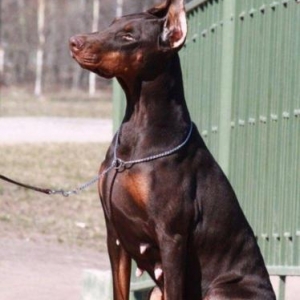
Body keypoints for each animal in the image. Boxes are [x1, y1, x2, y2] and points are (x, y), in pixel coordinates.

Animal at [69, 1, 276, 298]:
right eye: (111, 25)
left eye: (128, 36)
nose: (74, 42)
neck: (138, 128)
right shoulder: (115, 235)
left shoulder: (171, 236)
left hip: (220, 290)